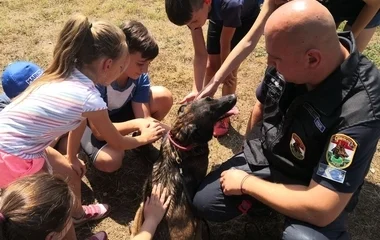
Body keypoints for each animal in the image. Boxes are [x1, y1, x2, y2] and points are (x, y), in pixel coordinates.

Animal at [131, 94, 238, 239]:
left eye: (209, 98)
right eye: (210, 113)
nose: (233, 96)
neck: (180, 145)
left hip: (141, 207)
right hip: (196, 226)